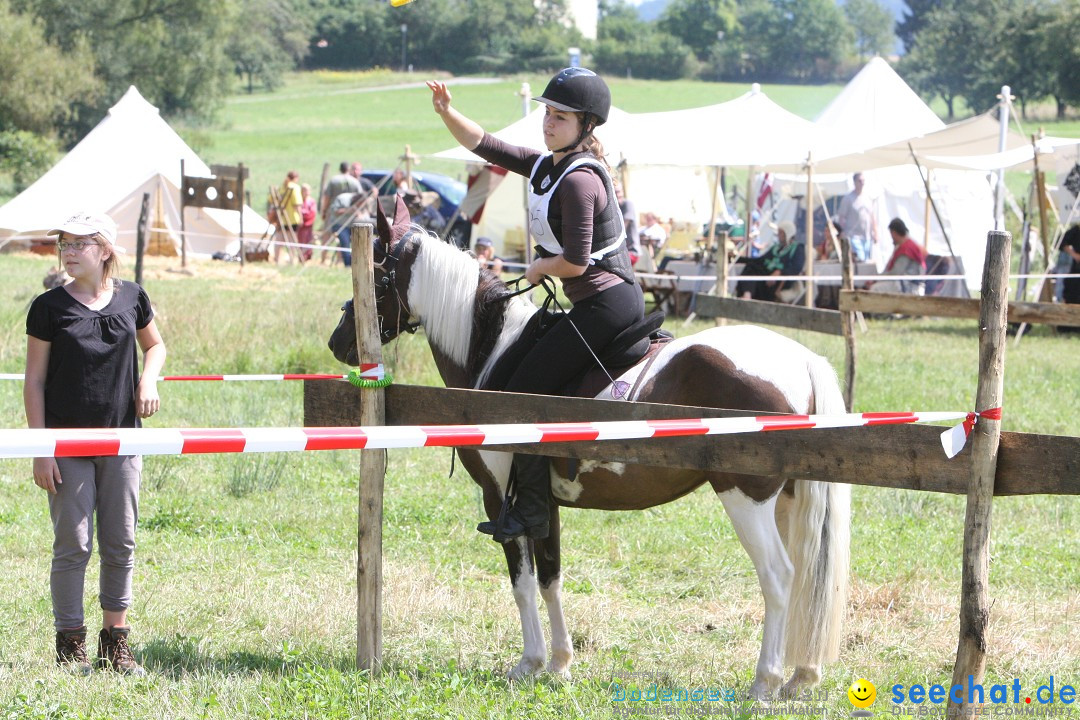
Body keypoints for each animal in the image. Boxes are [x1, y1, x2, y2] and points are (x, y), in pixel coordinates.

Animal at [328, 204, 851, 699]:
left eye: (376, 272)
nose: (338, 342)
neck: (493, 353)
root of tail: (802, 359)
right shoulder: (542, 504)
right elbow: (550, 578)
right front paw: (560, 662)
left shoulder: (501, 500)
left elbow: (522, 583)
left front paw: (530, 663)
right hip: (787, 500)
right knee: (807, 577)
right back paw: (801, 676)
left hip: (747, 498)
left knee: (779, 577)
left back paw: (765, 681)